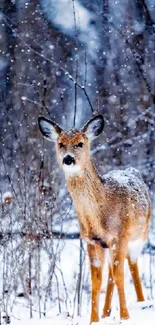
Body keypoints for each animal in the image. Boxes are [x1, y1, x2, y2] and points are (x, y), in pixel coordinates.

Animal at [38, 113, 151, 322]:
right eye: (60, 143)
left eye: (80, 143)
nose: (68, 159)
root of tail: (132, 170)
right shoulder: (92, 241)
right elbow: (96, 280)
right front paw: (94, 320)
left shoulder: (121, 235)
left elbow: (120, 274)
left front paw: (125, 317)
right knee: (111, 274)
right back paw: (107, 312)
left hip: (140, 234)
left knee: (131, 266)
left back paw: (141, 302)